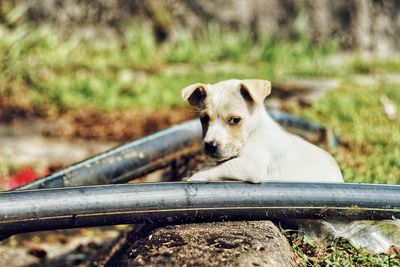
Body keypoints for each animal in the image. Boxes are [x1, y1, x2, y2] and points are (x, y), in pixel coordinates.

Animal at [183, 79, 342, 184]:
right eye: (204, 119)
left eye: (234, 120)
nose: (210, 145)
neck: (254, 132)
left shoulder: (253, 165)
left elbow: (218, 167)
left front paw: (194, 177)